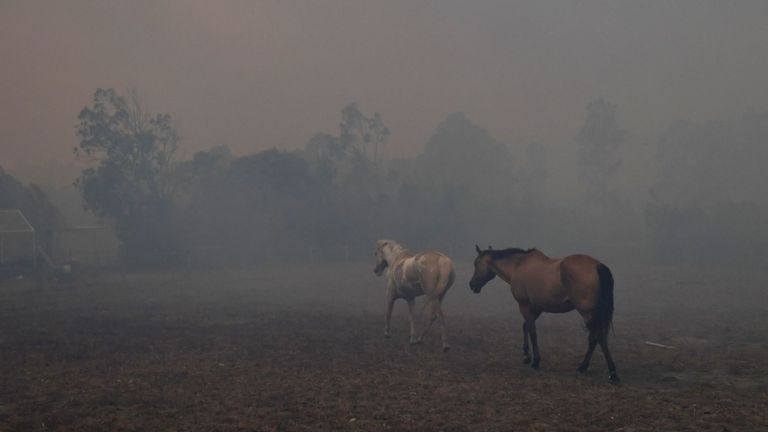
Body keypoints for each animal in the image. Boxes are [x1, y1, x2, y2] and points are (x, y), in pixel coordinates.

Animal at [469, 245, 619, 382]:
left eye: (476, 263)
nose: (471, 285)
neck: (518, 266)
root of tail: (597, 265)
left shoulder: (524, 305)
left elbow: (533, 332)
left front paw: (535, 361)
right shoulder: (536, 308)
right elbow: (526, 327)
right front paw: (526, 354)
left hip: (588, 313)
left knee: (597, 337)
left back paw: (607, 371)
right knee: (596, 338)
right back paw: (588, 367)